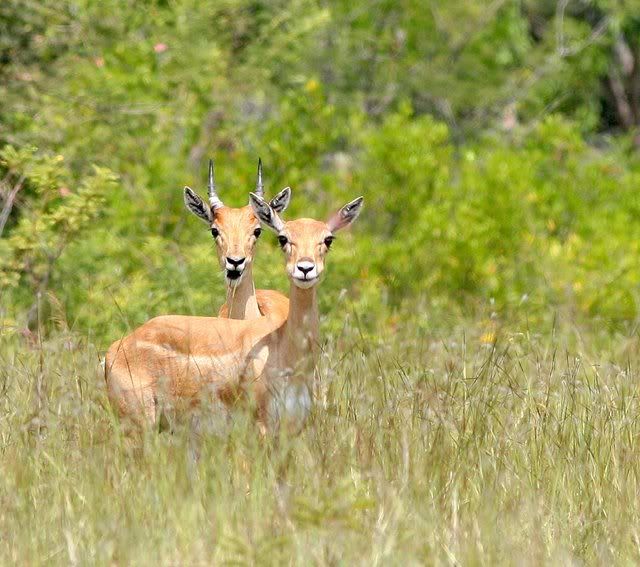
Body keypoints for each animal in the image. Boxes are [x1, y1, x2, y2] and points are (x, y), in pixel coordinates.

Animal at [105, 195, 364, 434]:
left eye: (328, 239)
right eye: (283, 238)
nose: (305, 268)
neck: (283, 346)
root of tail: (115, 349)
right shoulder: (262, 426)